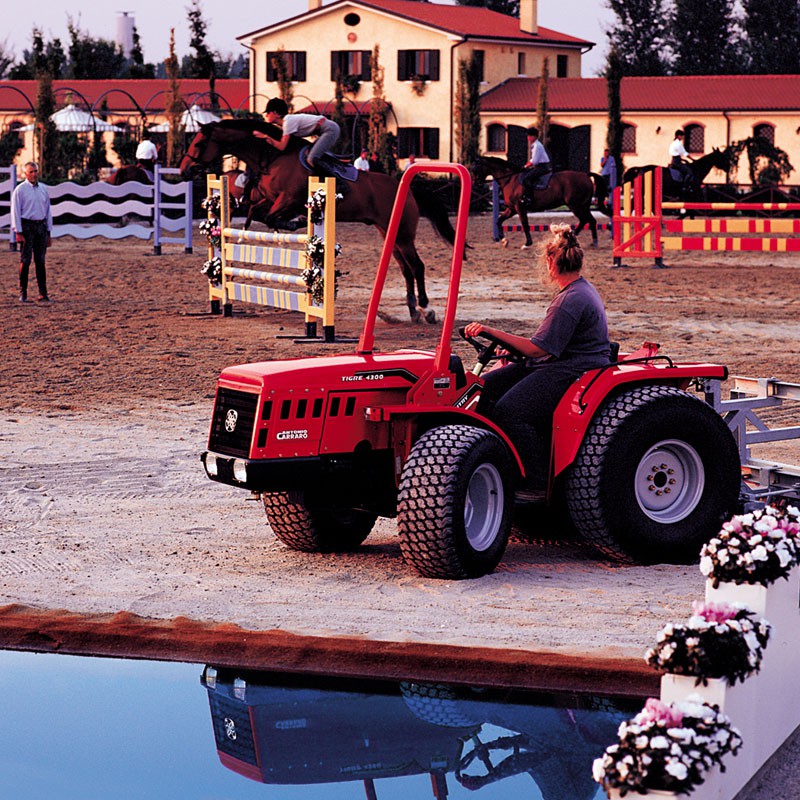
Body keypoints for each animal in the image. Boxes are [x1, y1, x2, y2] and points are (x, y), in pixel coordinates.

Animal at [180, 119, 459, 323]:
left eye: (199, 143)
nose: (184, 171)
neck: (272, 157)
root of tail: (406, 188)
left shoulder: (288, 199)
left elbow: (269, 215)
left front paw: (294, 223)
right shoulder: (268, 198)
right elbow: (256, 212)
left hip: (402, 233)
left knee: (418, 266)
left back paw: (426, 309)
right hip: (388, 231)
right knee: (406, 269)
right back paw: (413, 311)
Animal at [472, 156, 608, 249]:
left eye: (476, 169)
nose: (475, 184)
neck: (510, 179)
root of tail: (585, 175)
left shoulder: (519, 207)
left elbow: (525, 224)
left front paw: (527, 244)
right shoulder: (512, 208)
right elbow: (499, 220)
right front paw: (504, 240)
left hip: (576, 205)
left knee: (585, 220)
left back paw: (576, 238)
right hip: (583, 206)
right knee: (590, 220)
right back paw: (589, 241)